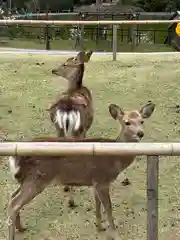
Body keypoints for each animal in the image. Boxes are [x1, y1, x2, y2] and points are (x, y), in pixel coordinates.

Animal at [7, 101, 155, 240]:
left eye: (142, 121)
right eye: (127, 122)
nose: (140, 133)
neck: (116, 159)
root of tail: (16, 156)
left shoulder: (95, 181)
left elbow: (98, 205)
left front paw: (100, 227)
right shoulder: (102, 179)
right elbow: (108, 207)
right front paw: (115, 234)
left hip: (25, 177)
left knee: (12, 196)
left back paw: (21, 228)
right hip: (38, 177)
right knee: (14, 203)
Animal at [48, 51, 93, 208]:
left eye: (65, 64)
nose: (54, 70)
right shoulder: (84, 130)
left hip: (59, 129)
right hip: (76, 130)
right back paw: (71, 200)